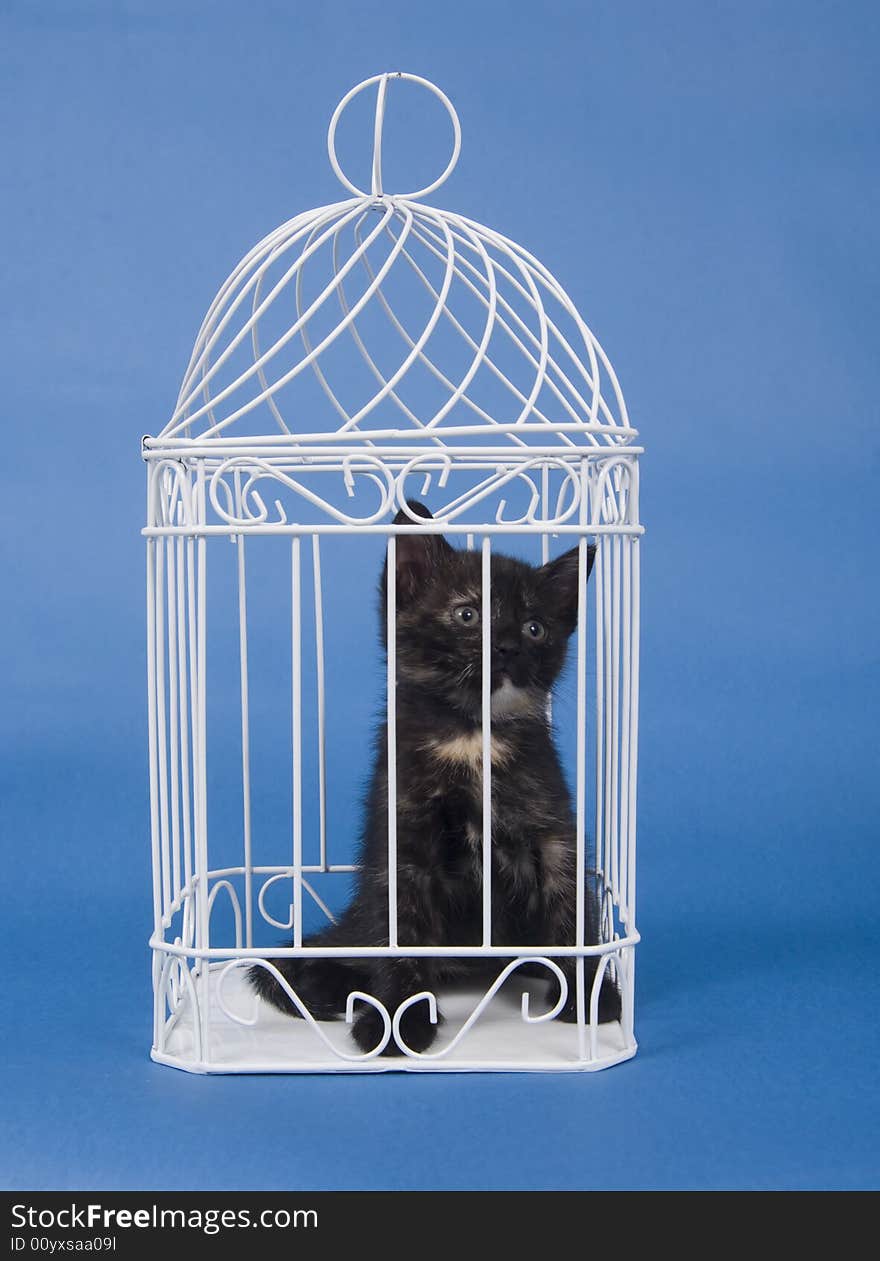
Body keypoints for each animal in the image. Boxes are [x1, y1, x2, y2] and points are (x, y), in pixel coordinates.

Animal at [247, 501, 617, 1054]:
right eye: (467, 614)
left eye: (535, 627)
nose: (507, 646)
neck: (472, 737)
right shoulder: (401, 846)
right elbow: (402, 929)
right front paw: (398, 1020)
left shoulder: (553, 830)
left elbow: (572, 911)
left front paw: (587, 991)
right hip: (358, 924)